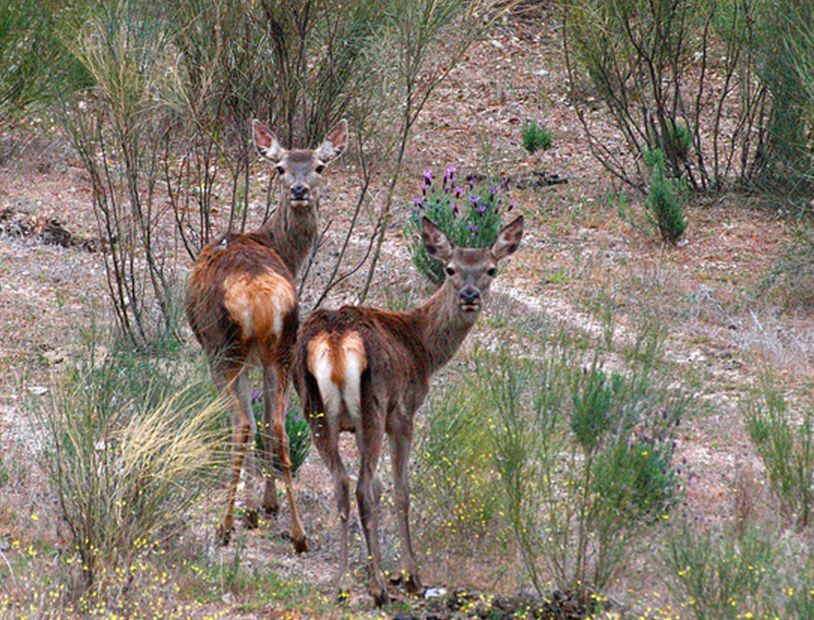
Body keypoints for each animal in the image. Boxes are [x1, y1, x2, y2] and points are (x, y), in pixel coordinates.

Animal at [186, 118, 349, 552]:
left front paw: (250, 509)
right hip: (283, 348)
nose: (300, 190)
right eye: (281, 168)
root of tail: (258, 297)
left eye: (320, 166)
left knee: (242, 425)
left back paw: (225, 526)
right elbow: (268, 425)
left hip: (223, 349)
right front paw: (265, 505)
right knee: (279, 429)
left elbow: (248, 423)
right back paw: (298, 533)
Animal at [292, 215, 524, 604]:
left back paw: (343, 584)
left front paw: (384, 570)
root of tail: (335, 339)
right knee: (360, 488)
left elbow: (380, 487)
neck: (422, 349)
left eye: (490, 269)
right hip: (372, 404)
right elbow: (399, 491)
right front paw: (410, 577)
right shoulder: (402, 413)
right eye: (449, 268)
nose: (469, 295)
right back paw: (377, 589)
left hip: (316, 412)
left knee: (342, 484)